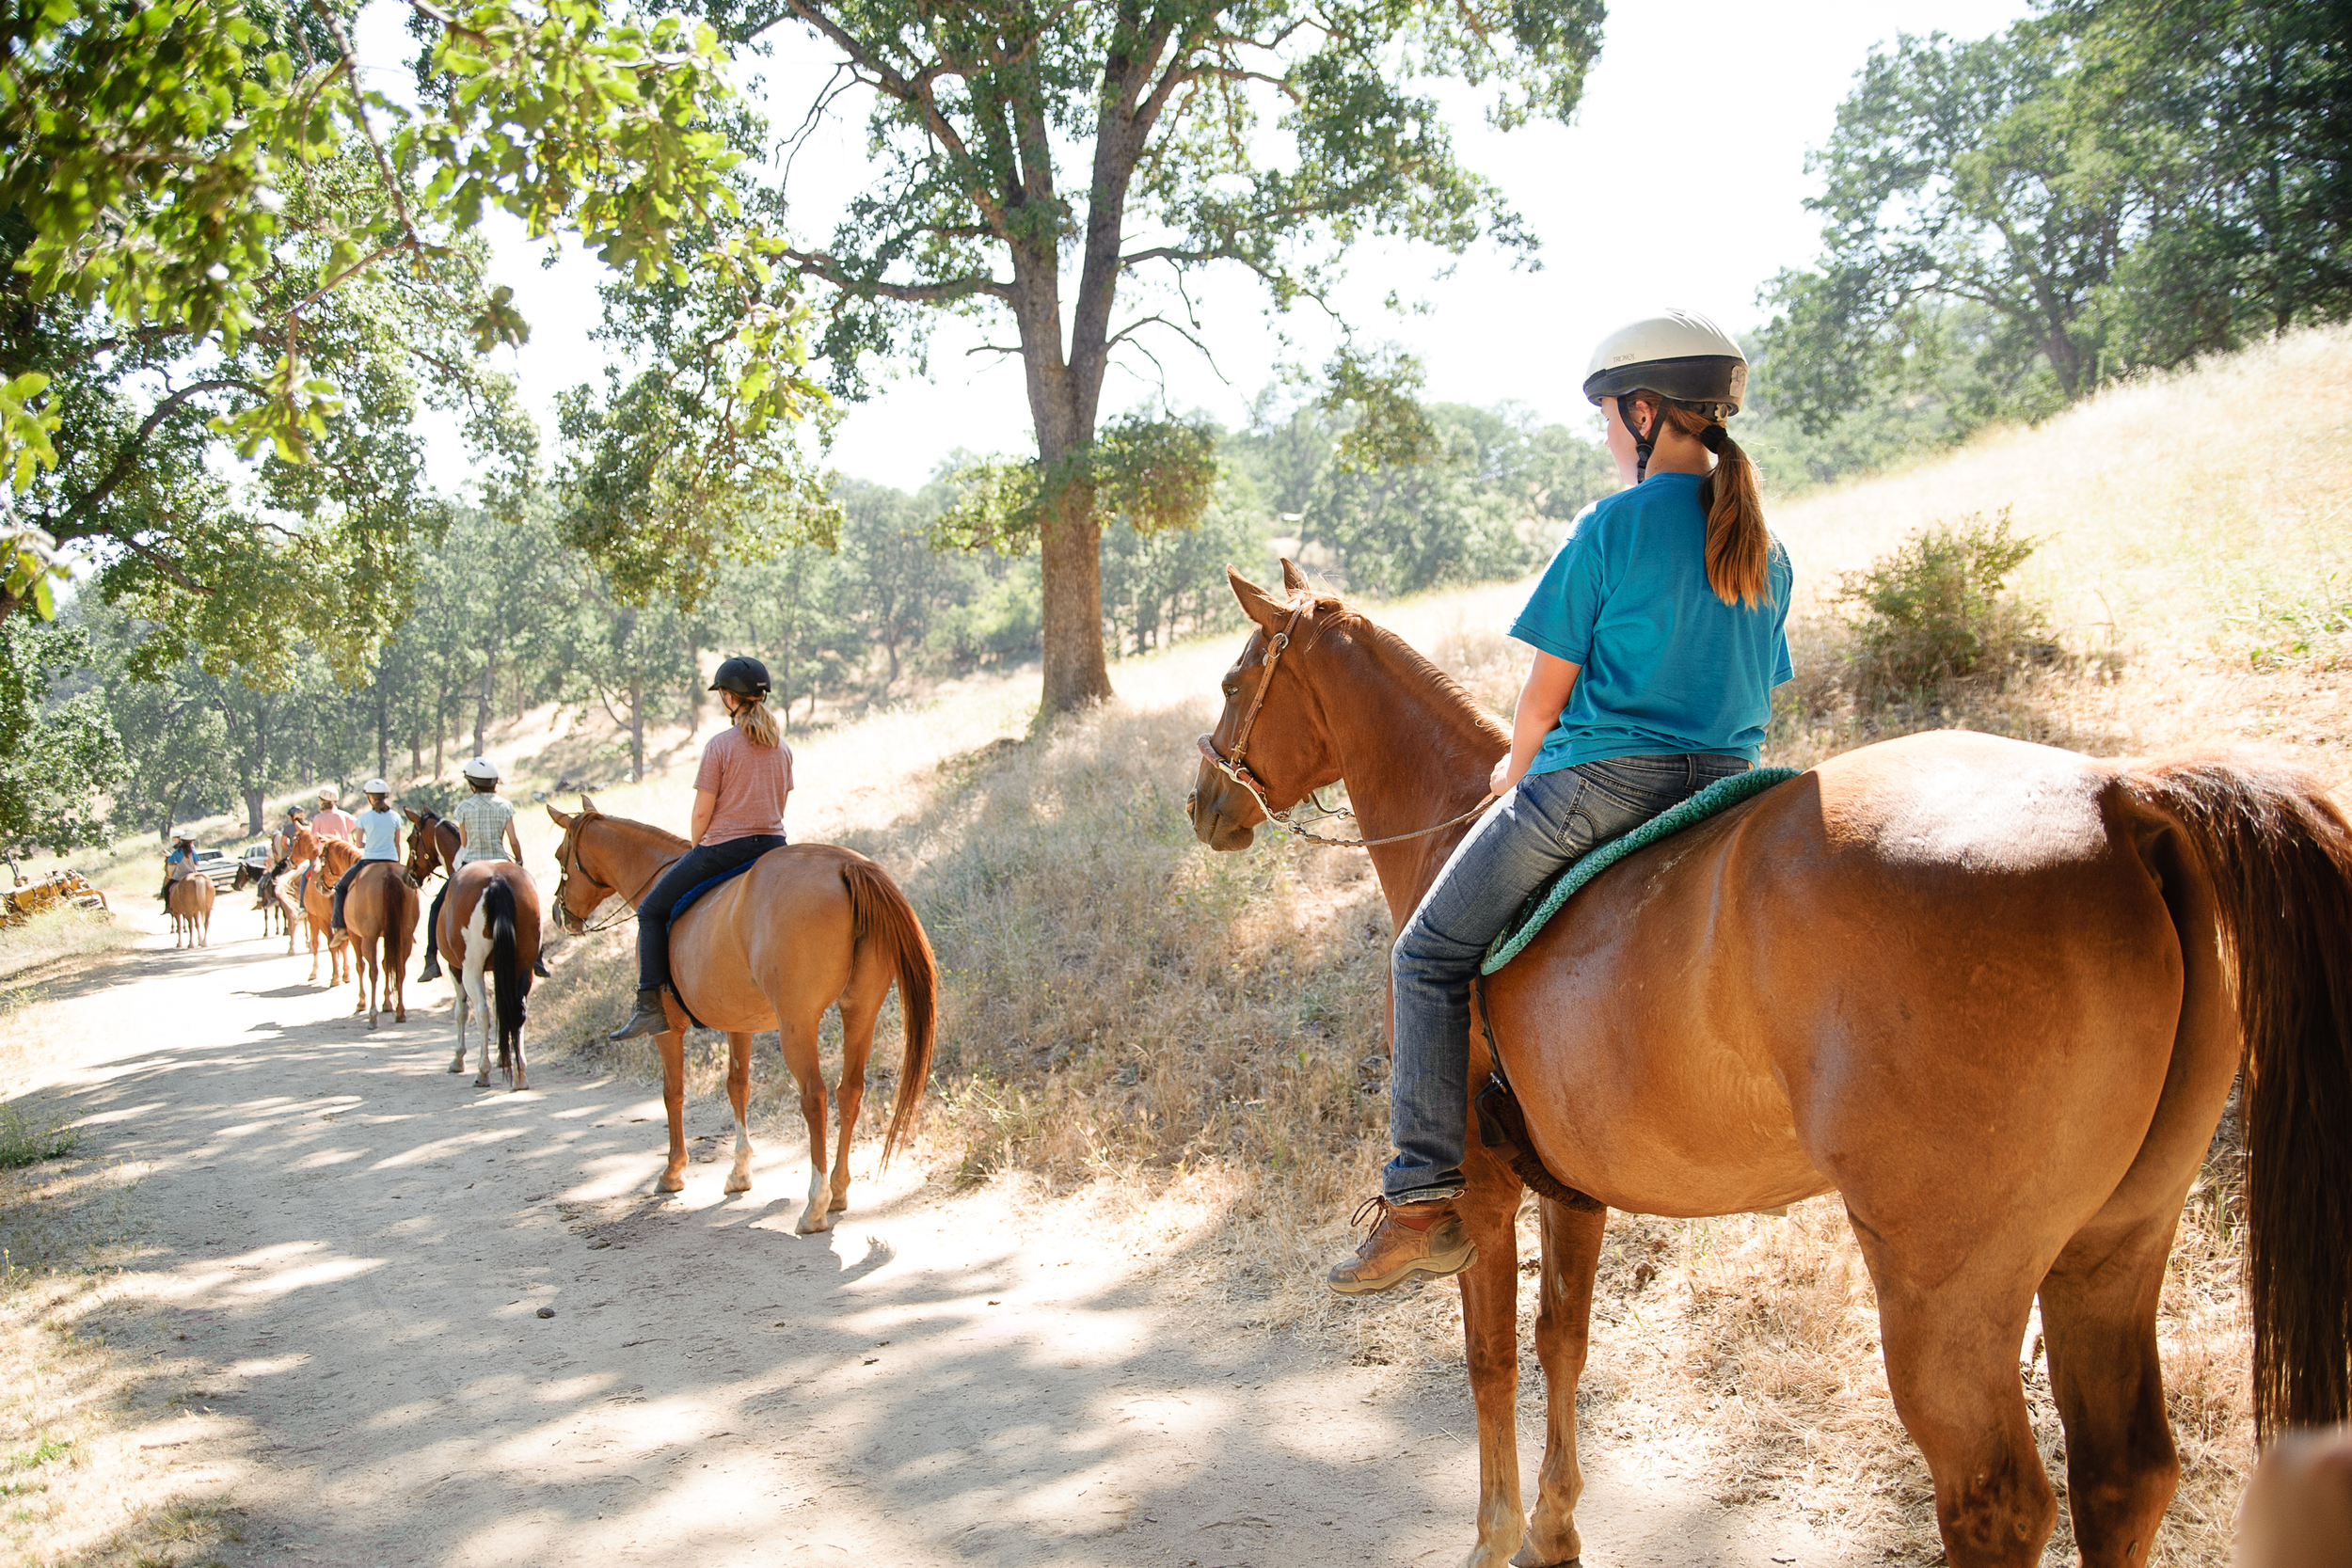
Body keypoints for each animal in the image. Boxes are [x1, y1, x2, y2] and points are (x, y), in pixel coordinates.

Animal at [546, 803, 941, 1231]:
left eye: (560, 857)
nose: (559, 915)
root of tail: (846, 864)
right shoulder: (740, 1024)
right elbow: (738, 1086)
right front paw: (739, 1173)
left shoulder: (668, 1029)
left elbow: (673, 1092)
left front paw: (673, 1172)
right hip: (860, 1011)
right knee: (848, 1091)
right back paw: (837, 1191)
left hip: (797, 1023)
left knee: (814, 1096)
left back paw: (815, 1204)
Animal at [1185, 571, 2352, 1568]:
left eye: (1237, 680)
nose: (1205, 802)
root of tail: (2118, 797)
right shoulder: (1571, 1191)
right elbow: (1563, 1343)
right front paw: (1552, 1531)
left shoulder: (1480, 1191)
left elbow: (1489, 1359)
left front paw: (1493, 1534)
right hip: (2115, 1245)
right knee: (2124, 1476)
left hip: (1948, 1289)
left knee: (1998, 1502)